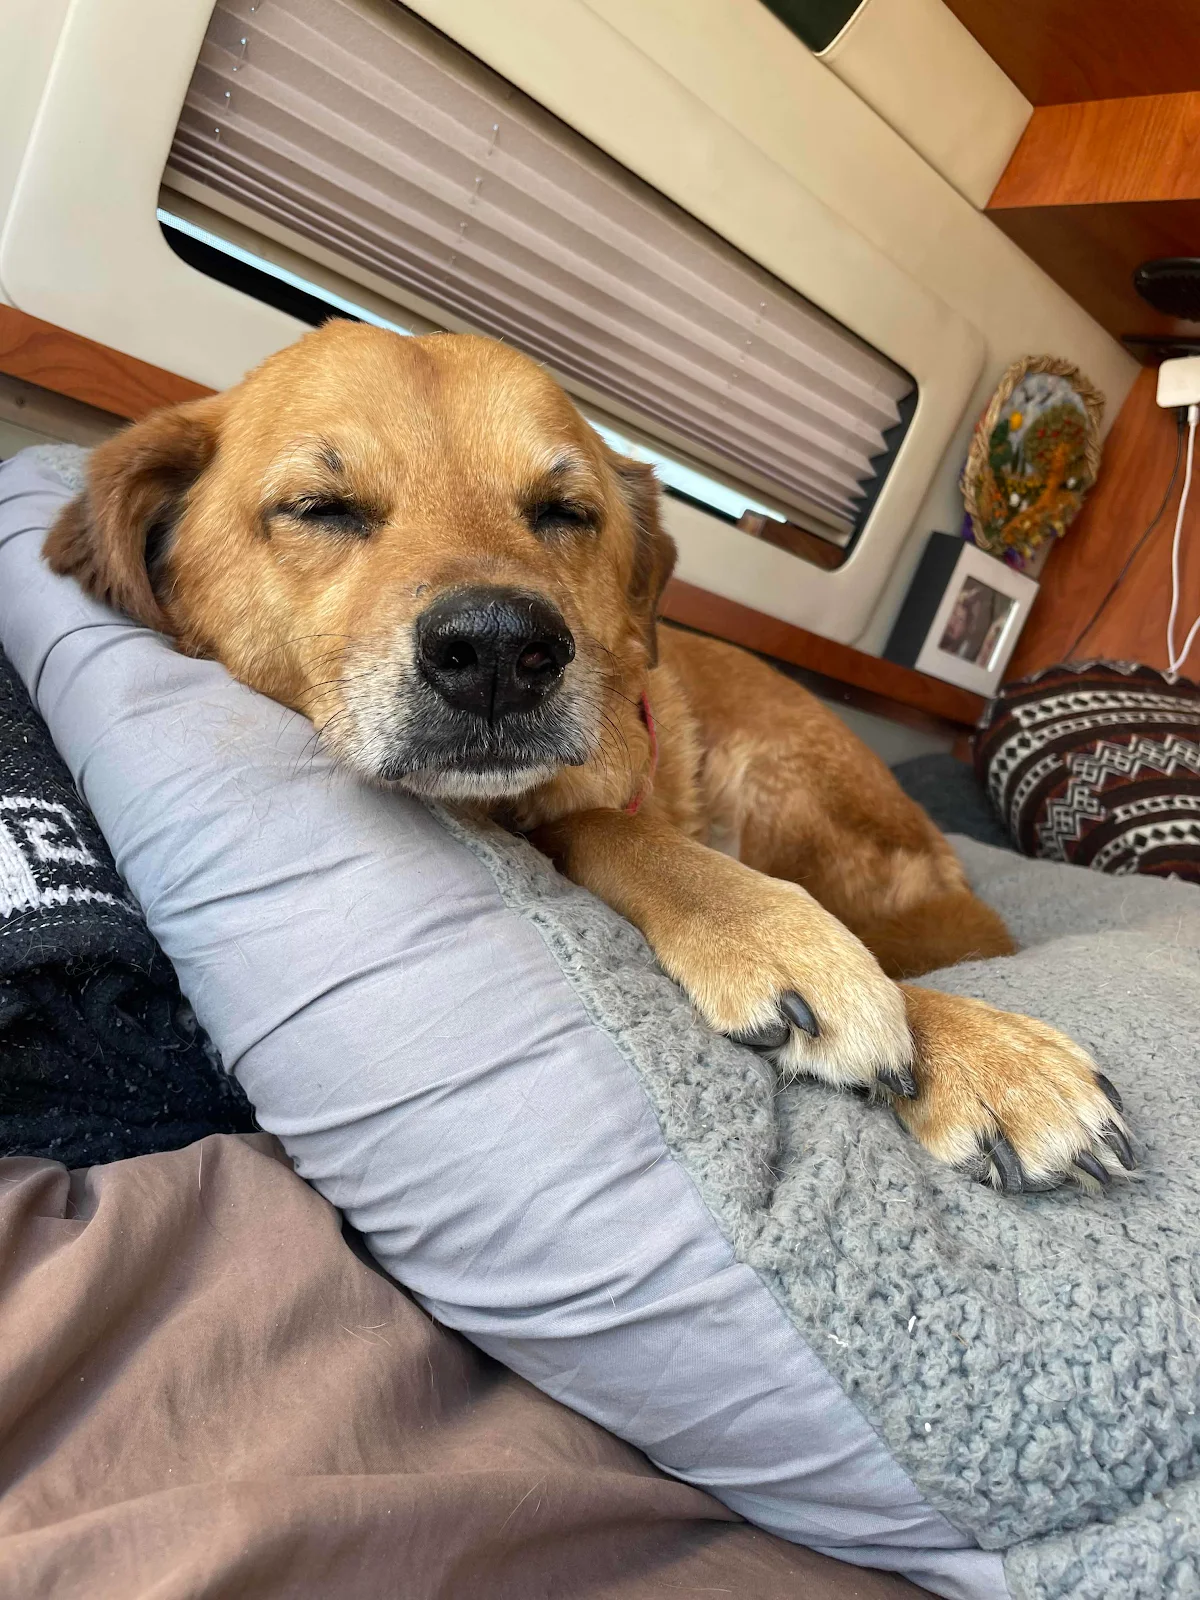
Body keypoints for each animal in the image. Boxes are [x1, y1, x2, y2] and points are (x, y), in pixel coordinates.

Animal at [45, 321, 1132, 1192]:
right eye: (320, 506)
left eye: (564, 512)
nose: (498, 651)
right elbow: (606, 831)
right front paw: (796, 946)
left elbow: (619, 827)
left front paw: (973, 1045)